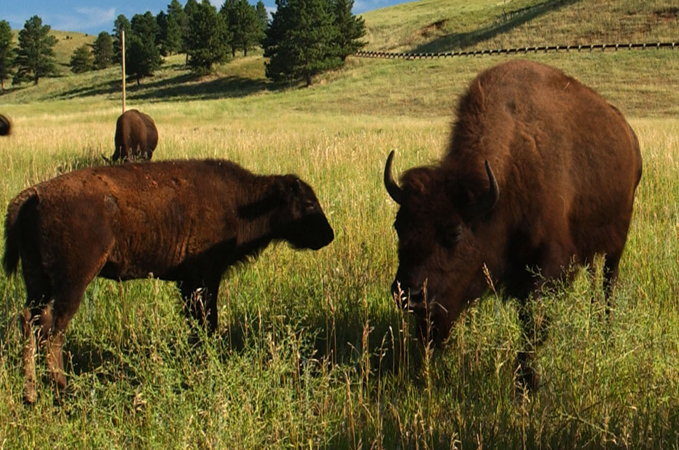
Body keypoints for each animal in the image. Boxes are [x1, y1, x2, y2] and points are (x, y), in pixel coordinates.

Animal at [4, 159, 334, 403]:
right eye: (307, 204)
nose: (328, 235)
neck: (244, 201)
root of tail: (33, 195)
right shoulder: (204, 279)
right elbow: (206, 321)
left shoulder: (189, 283)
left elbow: (197, 324)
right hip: (72, 283)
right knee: (52, 331)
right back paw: (62, 390)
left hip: (38, 283)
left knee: (30, 322)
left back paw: (30, 393)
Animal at [384, 60, 642, 389]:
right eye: (399, 226)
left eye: (454, 233)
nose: (409, 294)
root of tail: (628, 135)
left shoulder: (546, 266)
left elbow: (532, 323)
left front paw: (527, 382)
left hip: (616, 245)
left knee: (609, 284)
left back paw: (605, 331)